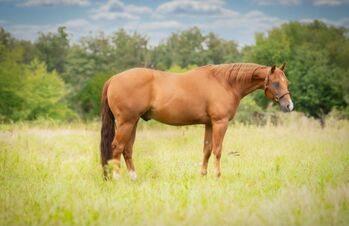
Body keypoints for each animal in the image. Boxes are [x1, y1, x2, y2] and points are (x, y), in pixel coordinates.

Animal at [99, 62, 292, 179]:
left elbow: (207, 150)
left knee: (127, 149)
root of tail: (113, 78)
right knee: (117, 147)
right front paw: (217, 176)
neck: (225, 83)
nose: (289, 106)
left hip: (133, 122)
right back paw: (117, 178)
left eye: (286, 82)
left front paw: (203, 175)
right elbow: (218, 150)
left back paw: (133, 178)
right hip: (126, 122)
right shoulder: (220, 123)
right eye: (276, 83)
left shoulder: (209, 124)